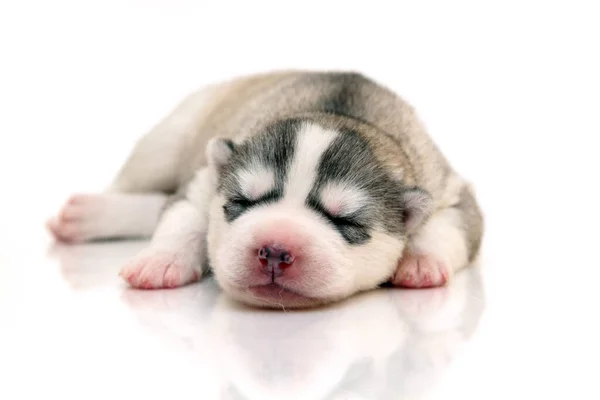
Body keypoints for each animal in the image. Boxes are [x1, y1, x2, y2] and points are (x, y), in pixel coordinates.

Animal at [47, 71, 482, 310]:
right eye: (241, 202)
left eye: (345, 221)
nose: (274, 251)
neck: (337, 113)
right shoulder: (207, 179)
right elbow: (183, 214)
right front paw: (162, 259)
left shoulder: (449, 188)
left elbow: (449, 224)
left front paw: (421, 261)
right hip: (168, 140)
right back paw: (87, 214)